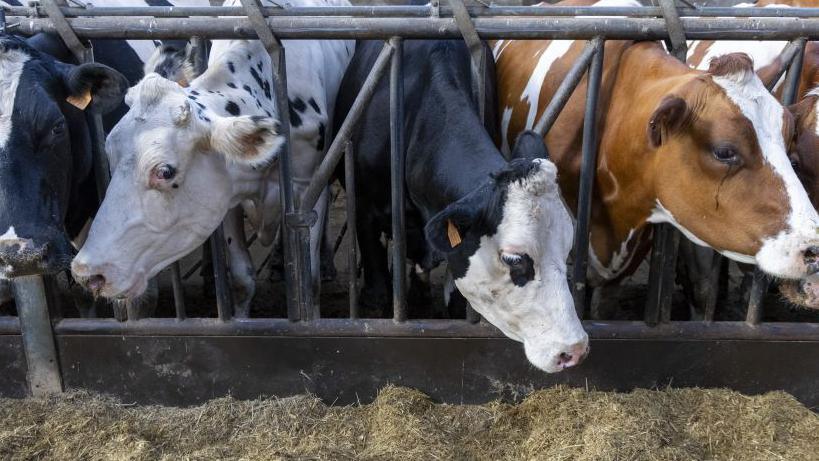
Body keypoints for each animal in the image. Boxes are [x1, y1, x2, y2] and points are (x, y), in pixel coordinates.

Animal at [69, 0, 352, 318]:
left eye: (165, 171)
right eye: (109, 154)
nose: (86, 273)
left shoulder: (307, 187)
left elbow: (309, 281)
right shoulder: (227, 198)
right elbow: (242, 279)